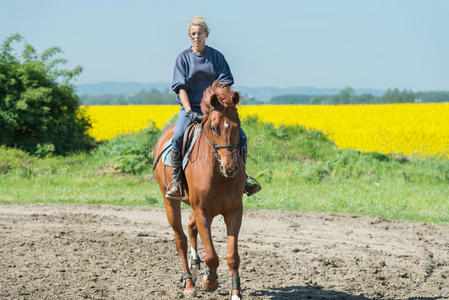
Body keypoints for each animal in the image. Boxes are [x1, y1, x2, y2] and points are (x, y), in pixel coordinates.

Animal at [153, 81, 245, 298]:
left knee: (190, 227)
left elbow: (232, 256)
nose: (230, 168)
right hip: (171, 202)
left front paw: (235, 292)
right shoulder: (203, 211)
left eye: (237, 127)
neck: (219, 175)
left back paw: (195, 266)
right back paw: (189, 282)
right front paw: (210, 280)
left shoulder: (234, 212)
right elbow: (212, 255)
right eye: (213, 127)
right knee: (181, 238)